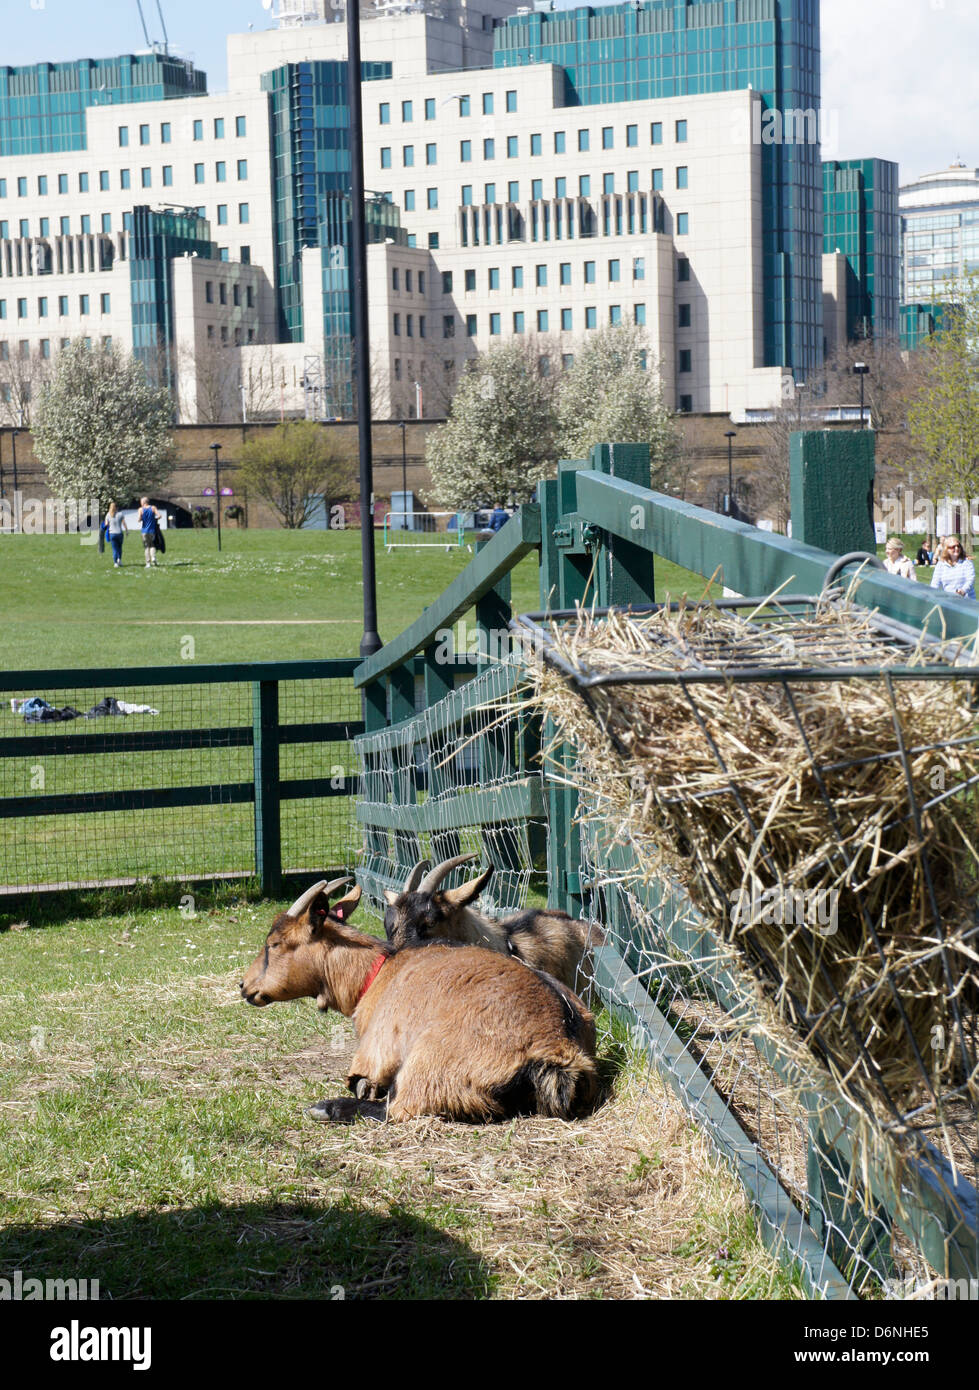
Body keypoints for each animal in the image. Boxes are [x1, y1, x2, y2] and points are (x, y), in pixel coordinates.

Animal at [240, 878, 600, 1128]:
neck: (379, 971)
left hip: (431, 1064)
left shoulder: (376, 1051)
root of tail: (557, 1046)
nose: (245, 986)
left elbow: (364, 1082)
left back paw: (325, 1108)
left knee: (396, 1109)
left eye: (274, 943)